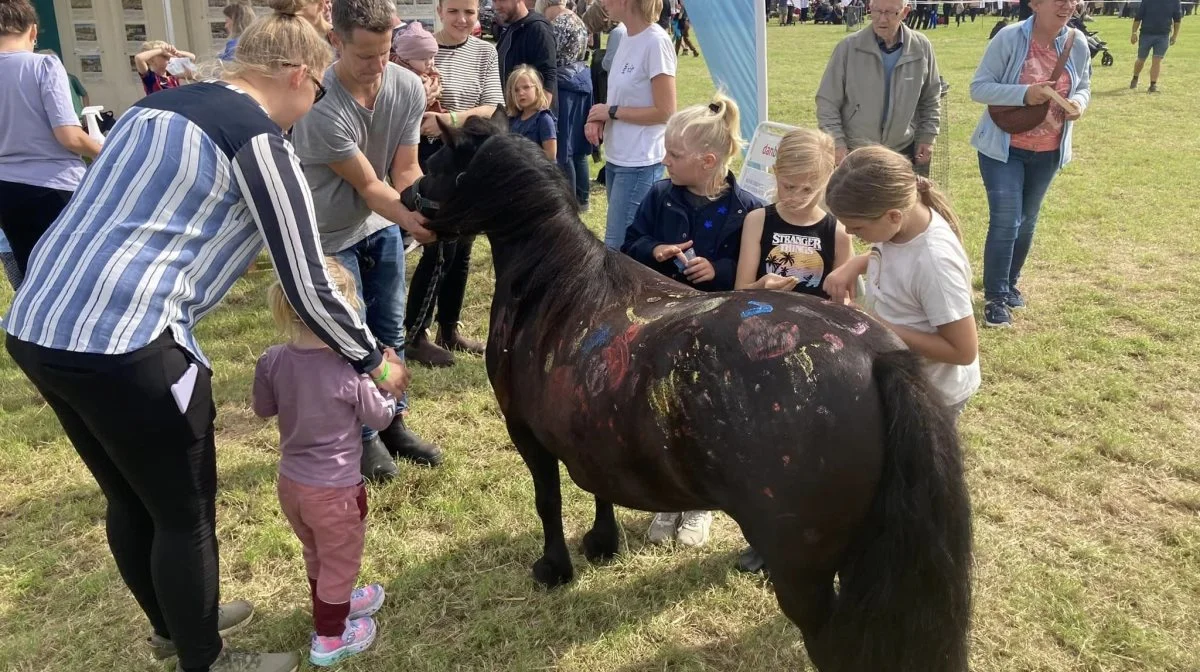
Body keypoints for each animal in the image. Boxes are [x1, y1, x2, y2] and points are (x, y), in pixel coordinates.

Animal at [408, 120, 969, 672]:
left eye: (436, 164)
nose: (408, 196)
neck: (556, 289)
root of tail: (877, 359)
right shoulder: (594, 429)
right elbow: (599, 487)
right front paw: (602, 544)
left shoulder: (525, 432)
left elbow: (549, 499)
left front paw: (554, 567)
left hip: (803, 572)